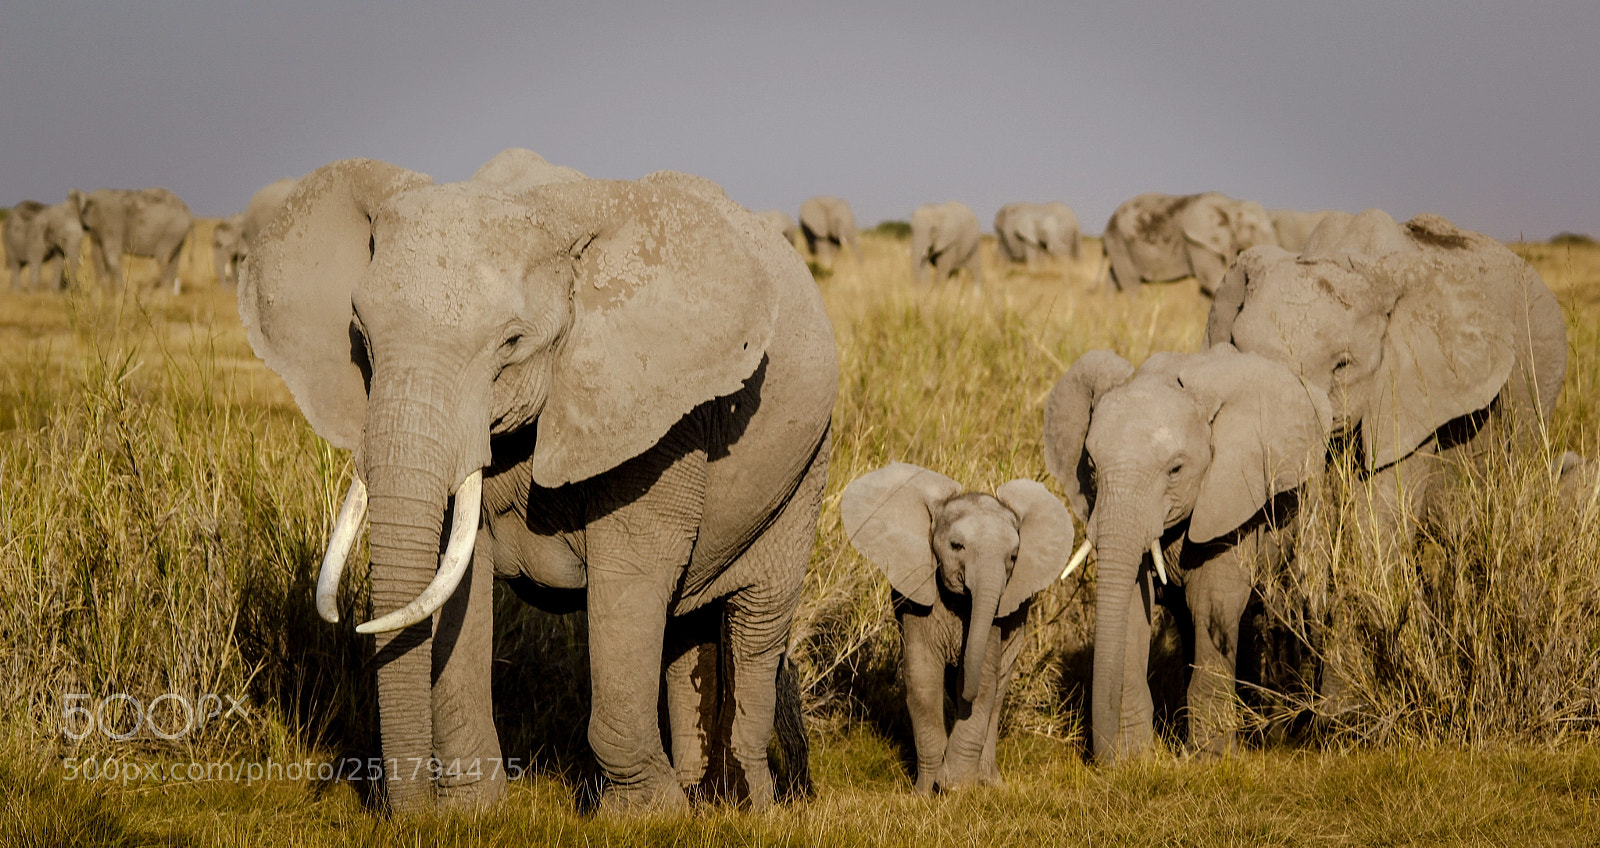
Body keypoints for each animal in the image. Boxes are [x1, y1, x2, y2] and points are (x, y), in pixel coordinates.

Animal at [239, 148, 838, 813]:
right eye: (361, 337)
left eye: (512, 343)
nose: (409, 816)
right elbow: (459, 574)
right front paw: (471, 810)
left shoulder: (659, 409)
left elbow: (633, 570)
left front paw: (643, 816)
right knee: (687, 624)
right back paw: (701, 793)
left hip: (808, 461)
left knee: (757, 621)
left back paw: (752, 804)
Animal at [840, 464, 1073, 793]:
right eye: (956, 546)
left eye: (1013, 557)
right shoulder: (919, 596)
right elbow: (923, 679)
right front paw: (926, 793)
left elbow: (985, 680)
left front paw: (955, 786)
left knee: (998, 692)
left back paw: (989, 783)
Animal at [1042, 345, 1329, 762]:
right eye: (1091, 467)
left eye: (1176, 469)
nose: (1102, 760)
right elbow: (1133, 606)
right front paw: (1134, 759)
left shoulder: (1230, 493)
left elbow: (1212, 602)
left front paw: (1212, 760)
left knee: (1283, 608)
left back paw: (1273, 733)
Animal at [1100, 192, 1277, 295]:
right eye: (1252, 227)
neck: (1231, 204)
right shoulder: (1197, 243)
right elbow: (1210, 279)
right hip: (1118, 242)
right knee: (1131, 285)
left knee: (1114, 280)